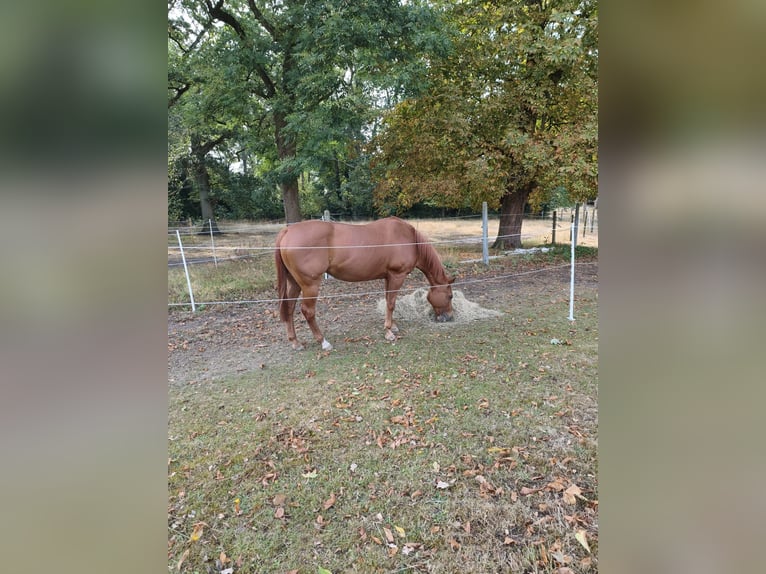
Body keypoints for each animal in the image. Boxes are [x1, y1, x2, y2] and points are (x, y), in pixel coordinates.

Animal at [274, 217, 455, 351]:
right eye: (450, 296)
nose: (449, 317)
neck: (409, 239)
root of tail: (288, 231)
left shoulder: (388, 277)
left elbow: (389, 302)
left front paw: (393, 326)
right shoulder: (397, 276)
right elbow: (391, 303)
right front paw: (389, 332)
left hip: (295, 283)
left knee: (289, 308)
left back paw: (295, 342)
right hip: (310, 285)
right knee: (308, 311)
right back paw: (323, 342)